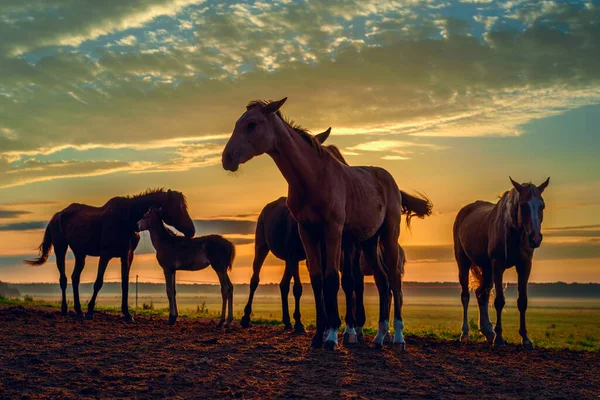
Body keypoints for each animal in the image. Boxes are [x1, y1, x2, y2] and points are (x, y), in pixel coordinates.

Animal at [24, 188, 195, 322]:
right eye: (178, 208)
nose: (192, 231)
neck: (127, 219)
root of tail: (57, 215)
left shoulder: (127, 256)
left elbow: (125, 284)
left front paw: (127, 314)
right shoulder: (105, 255)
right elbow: (98, 282)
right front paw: (90, 311)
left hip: (80, 254)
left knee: (75, 278)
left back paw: (78, 310)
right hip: (61, 249)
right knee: (64, 279)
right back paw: (66, 309)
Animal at [220, 97, 432, 350]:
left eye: (252, 124)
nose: (226, 158)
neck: (313, 179)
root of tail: (388, 179)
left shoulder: (333, 232)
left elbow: (332, 278)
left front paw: (332, 336)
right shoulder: (307, 233)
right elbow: (317, 280)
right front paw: (318, 335)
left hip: (388, 236)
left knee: (394, 283)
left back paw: (398, 337)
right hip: (369, 242)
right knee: (382, 282)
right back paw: (380, 336)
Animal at [454, 177, 548, 348]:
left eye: (542, 206)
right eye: (523, 205)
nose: (535, 238)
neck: (513, 233)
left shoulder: (525, 265)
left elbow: (522, 301)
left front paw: (525, 338)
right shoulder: (498, 266)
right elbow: (499, 301)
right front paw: (499, 338)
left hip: (486, 268)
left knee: (481, 294)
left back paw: (487, 331)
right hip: (463, 263)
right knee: (465, 296)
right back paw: (465, 334)